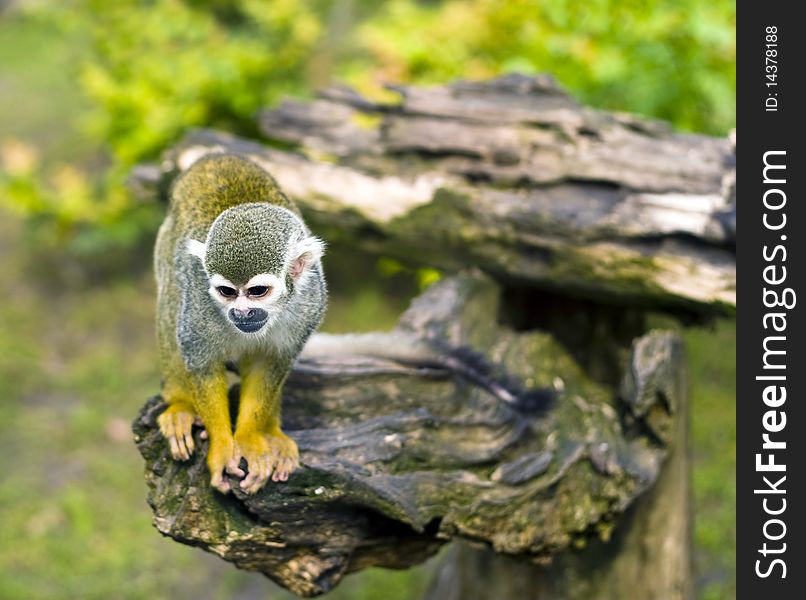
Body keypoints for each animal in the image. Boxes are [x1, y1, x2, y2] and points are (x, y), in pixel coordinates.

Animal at [155, 154, 326, 492]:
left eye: (257, 291)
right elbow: (202, 361)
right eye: (227, 292)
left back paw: (271, 433)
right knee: (170, 305)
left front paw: (249, 439)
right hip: (165, 249)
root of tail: (214, 156)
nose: (242, 312)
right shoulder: (201, 297)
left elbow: (271, 362)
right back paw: (180, 406)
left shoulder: (309, 303)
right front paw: (223, 446)